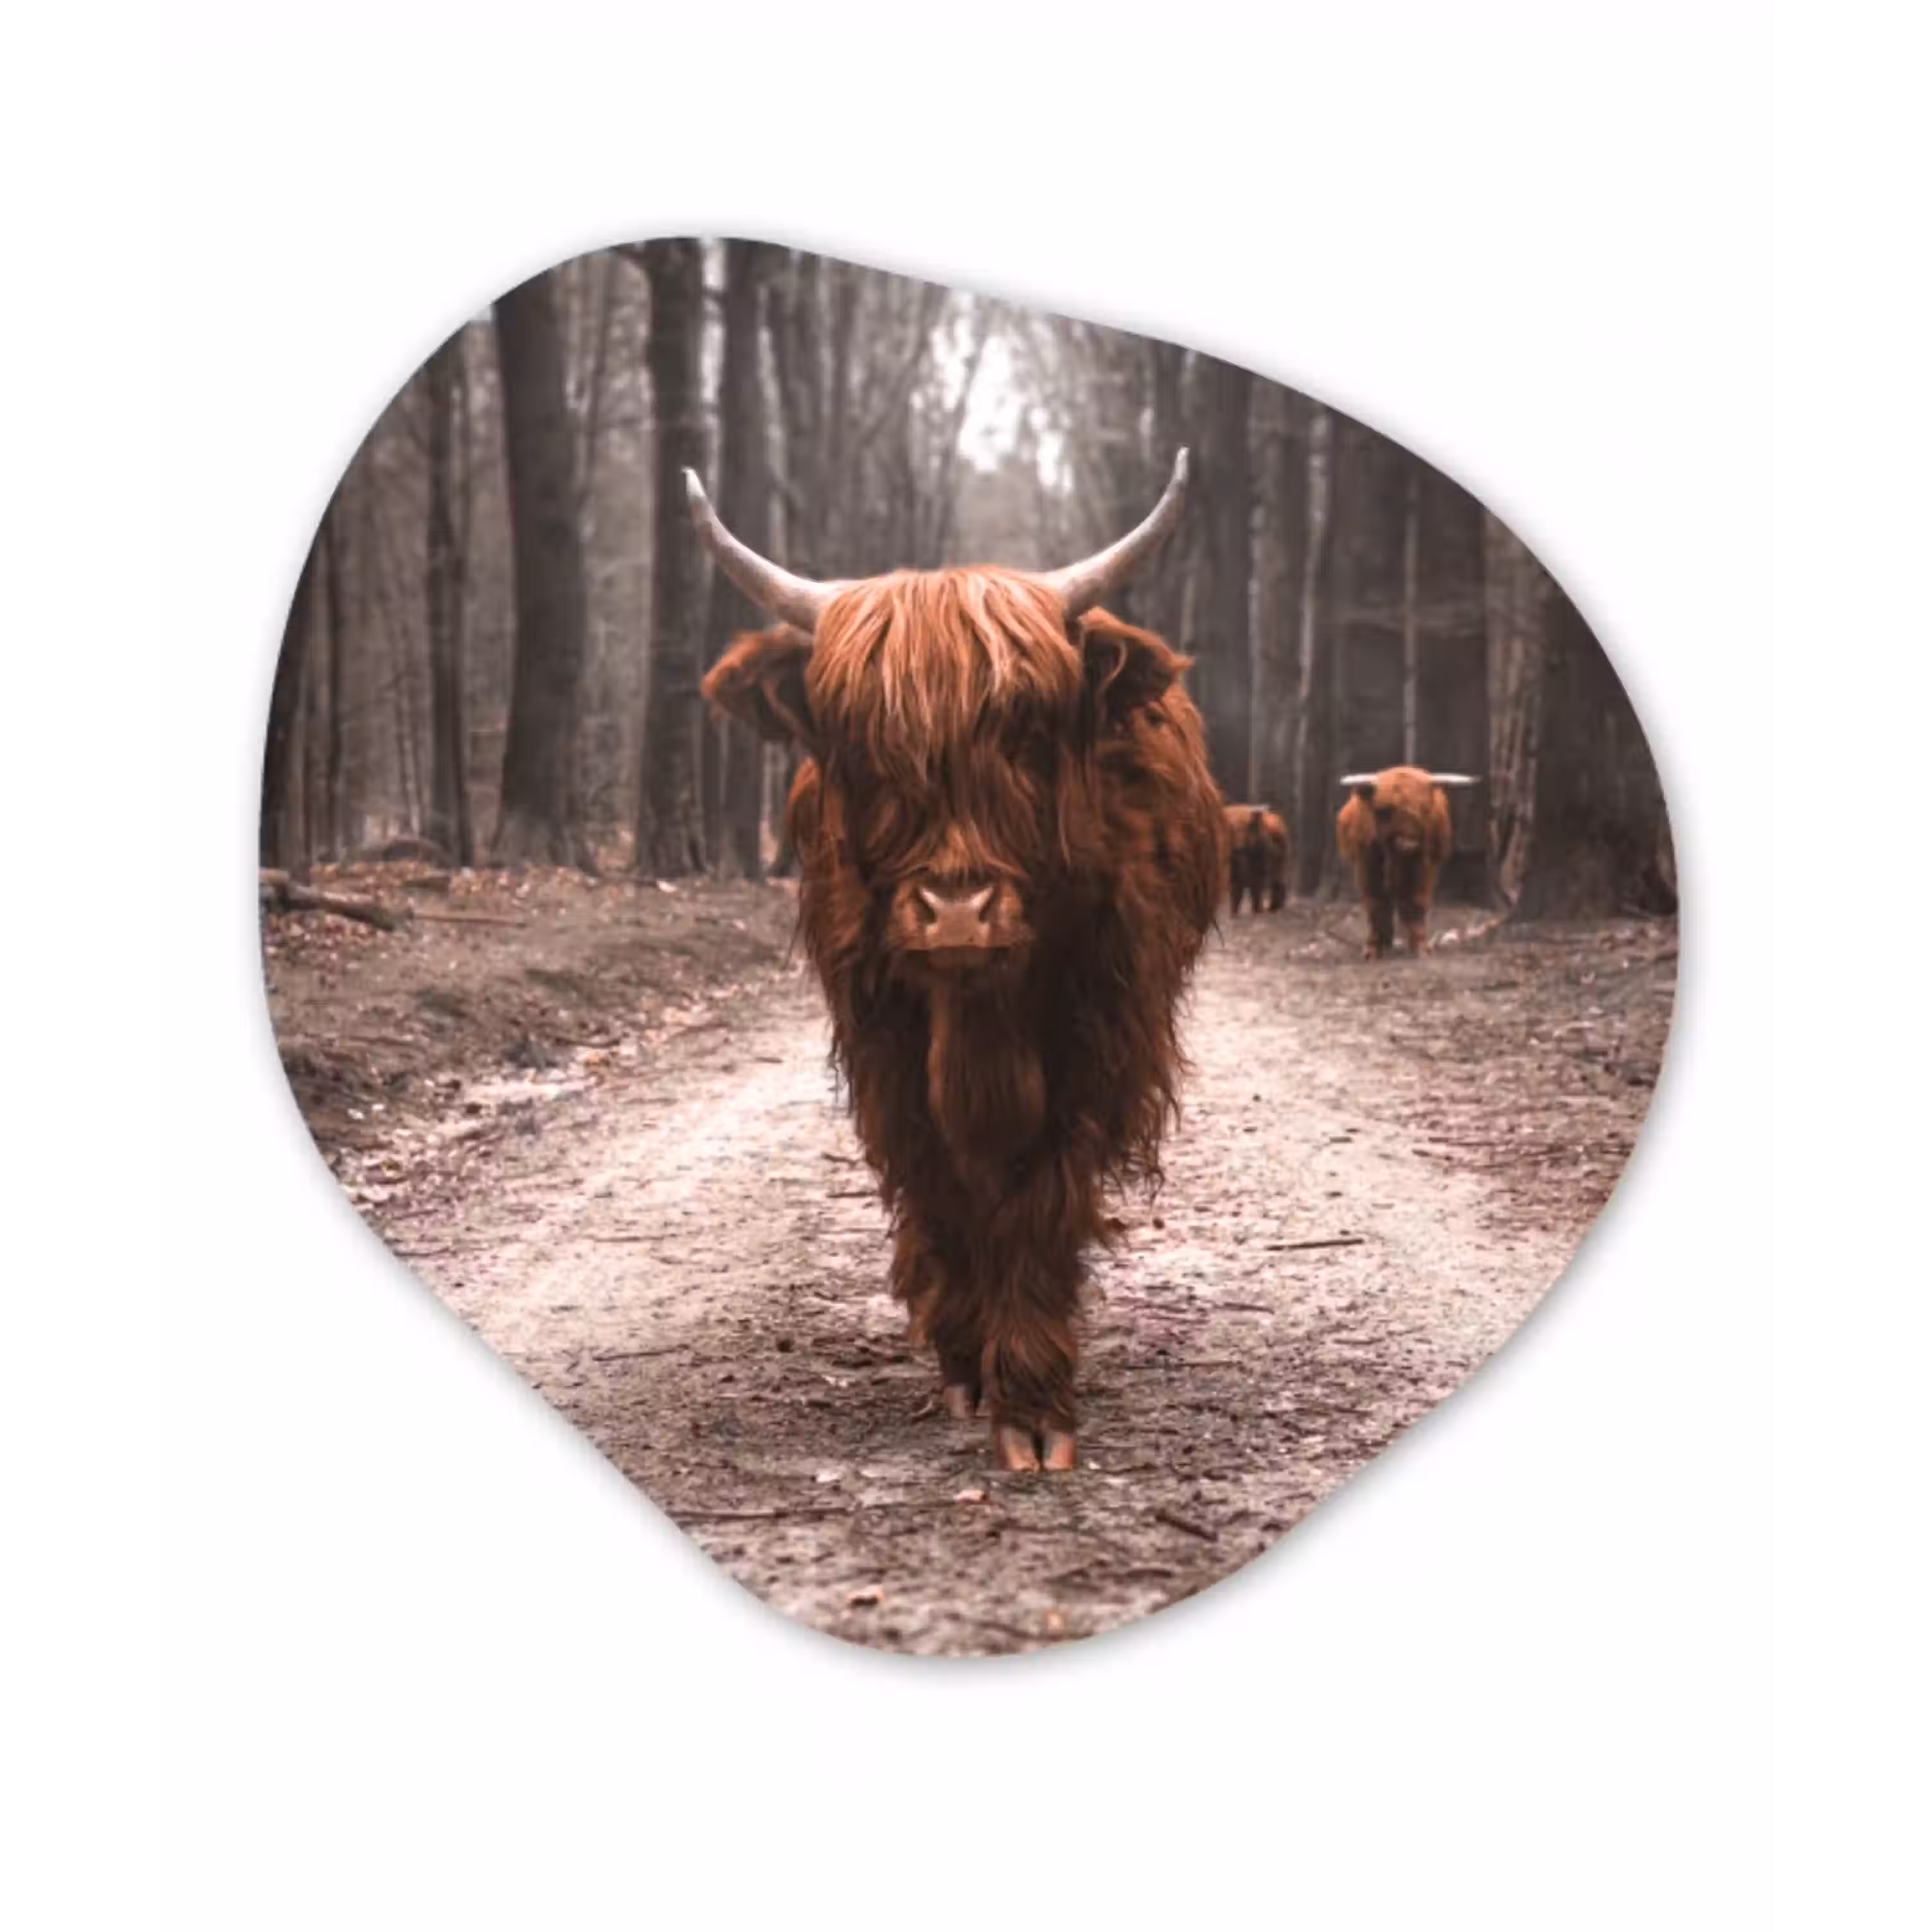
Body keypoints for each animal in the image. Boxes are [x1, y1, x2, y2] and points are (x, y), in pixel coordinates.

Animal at [692, 451, 1226, 1472]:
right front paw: (967, 1361)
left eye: (1025, 732)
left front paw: (1034, 1402)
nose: (956, 914)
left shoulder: (1095, 1040)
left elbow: (1040, 1196)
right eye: (863, 745)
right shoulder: (884, 1046)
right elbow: (939, 1183)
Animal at [1223, 803, 1291, 914]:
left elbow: (1256, 891)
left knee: (1278, 880)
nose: (1238, 848)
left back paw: (1275, 907)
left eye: (1249, 826)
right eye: (1230, 828)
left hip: (1282, 860)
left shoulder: (1261, 867)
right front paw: (1234, 914)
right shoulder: (1233, 872)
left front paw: (1257, 911)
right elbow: (1236, 893)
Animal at [1334, 765, 1479, 958]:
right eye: (1384, 811)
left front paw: (1421, 948)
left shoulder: (1424, 867)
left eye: (1424, 809)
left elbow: (1416, 902)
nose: (1408, 844)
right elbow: (1376, 903)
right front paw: (1373, 949)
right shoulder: (1367, 865)